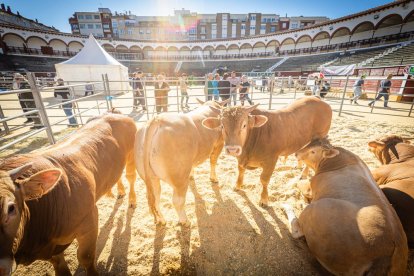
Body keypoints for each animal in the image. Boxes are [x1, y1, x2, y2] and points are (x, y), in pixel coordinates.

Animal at [0, 111, 137, 274]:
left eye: (11, 208)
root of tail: (113, 112)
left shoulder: (89, 220)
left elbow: (85, 256)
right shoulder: (50, 250)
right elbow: (60, 266)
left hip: (131, 155)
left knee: (131, 177)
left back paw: (132, 200)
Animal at [202, 96, 332, 206]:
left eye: (244, 125)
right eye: (222, 126)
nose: (232, 149)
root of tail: (317, 99)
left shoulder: (271, 161)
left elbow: (264, 180)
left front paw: (264, 199)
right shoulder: (241, 159)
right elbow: (241, 170)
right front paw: (238, 185)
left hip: (319, 136)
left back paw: (304, 173)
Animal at [284, 139, 408, 274]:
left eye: (313, 151)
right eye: (309, 143)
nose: (296, 153)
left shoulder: (310, 187)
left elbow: (298, 182)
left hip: (315, 211)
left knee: (297, 231)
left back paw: (286, 206)